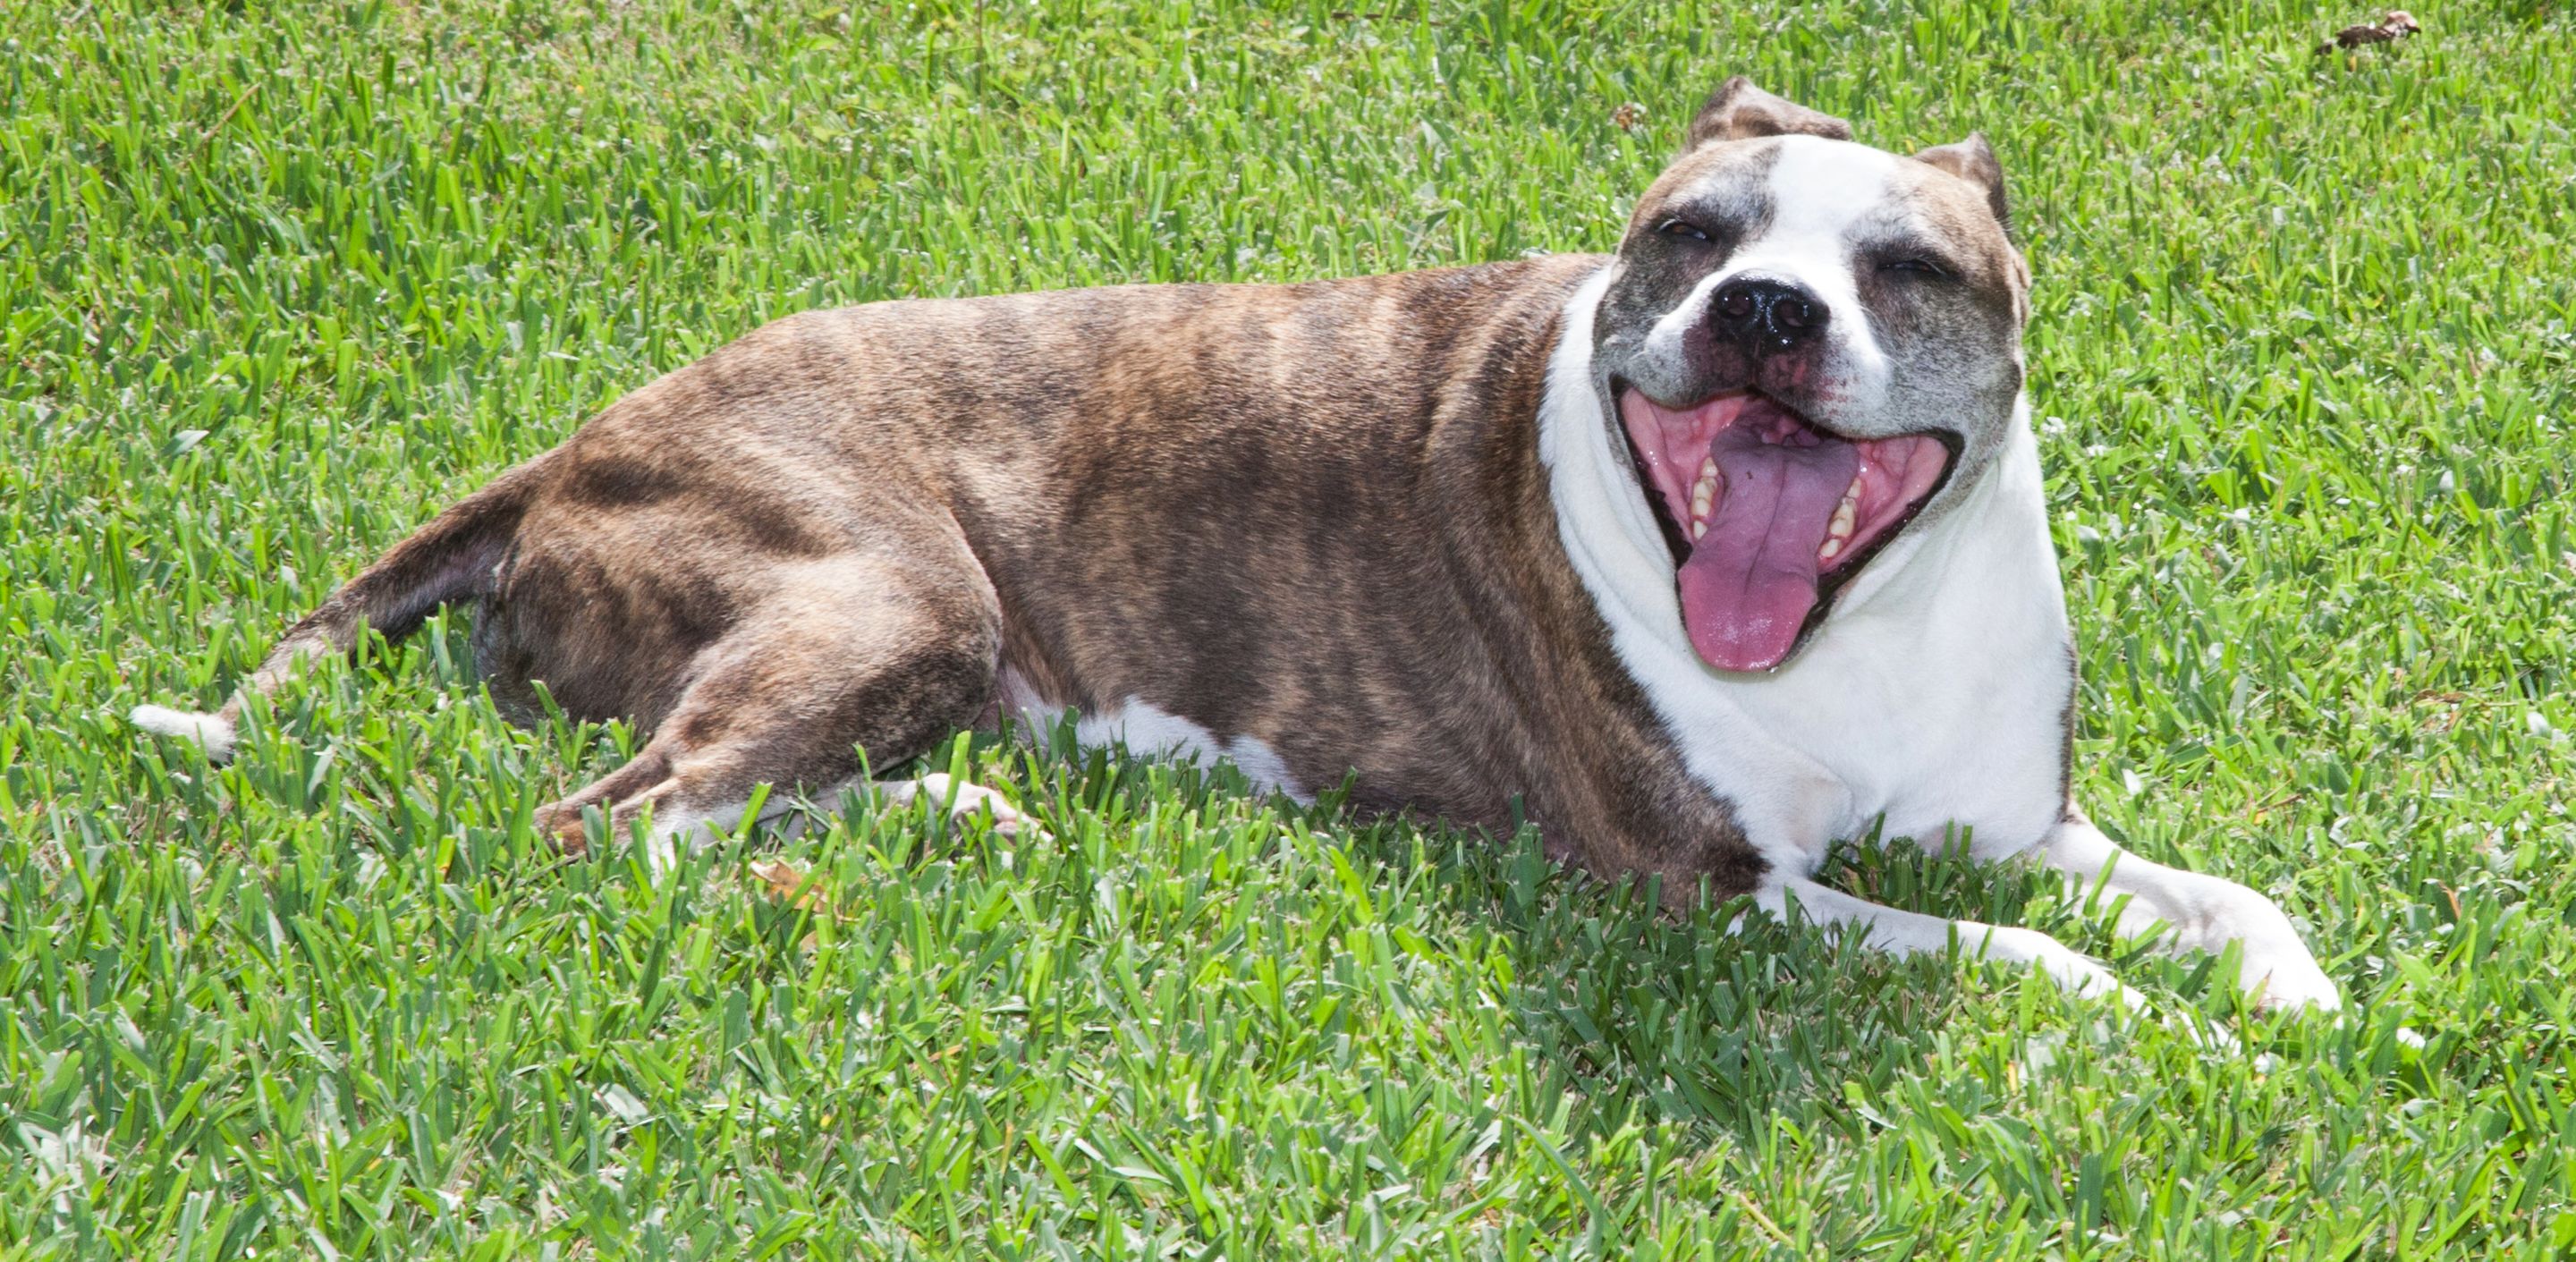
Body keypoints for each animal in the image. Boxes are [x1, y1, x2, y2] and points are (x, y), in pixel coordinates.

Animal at [135, 79, 2360, 1009]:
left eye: (1908, 265)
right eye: (1688, 236)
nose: (1764, 315)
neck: (1850, 633)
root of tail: (572, 447)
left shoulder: (2019, 820)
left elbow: (2205, 894)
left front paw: (2285, 981)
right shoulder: (1719, 890)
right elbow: (2006, 953)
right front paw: (2152, 1025)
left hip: (920, 653)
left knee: (728, 793)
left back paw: (958, 823)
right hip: (880, 590)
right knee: (625, 826)